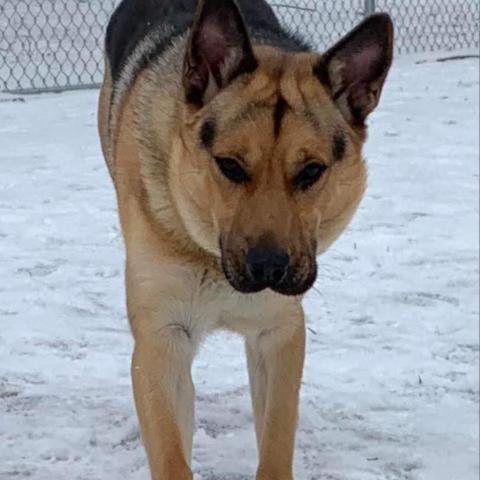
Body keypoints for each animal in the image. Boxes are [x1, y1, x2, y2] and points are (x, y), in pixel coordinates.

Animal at [97, 0, 394, 476]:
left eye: (311, 171)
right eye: (230, 166)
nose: (268, 267)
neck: (210, 256)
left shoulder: (279, 333)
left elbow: (275, 442)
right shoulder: (162, 337)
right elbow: (170, 452)